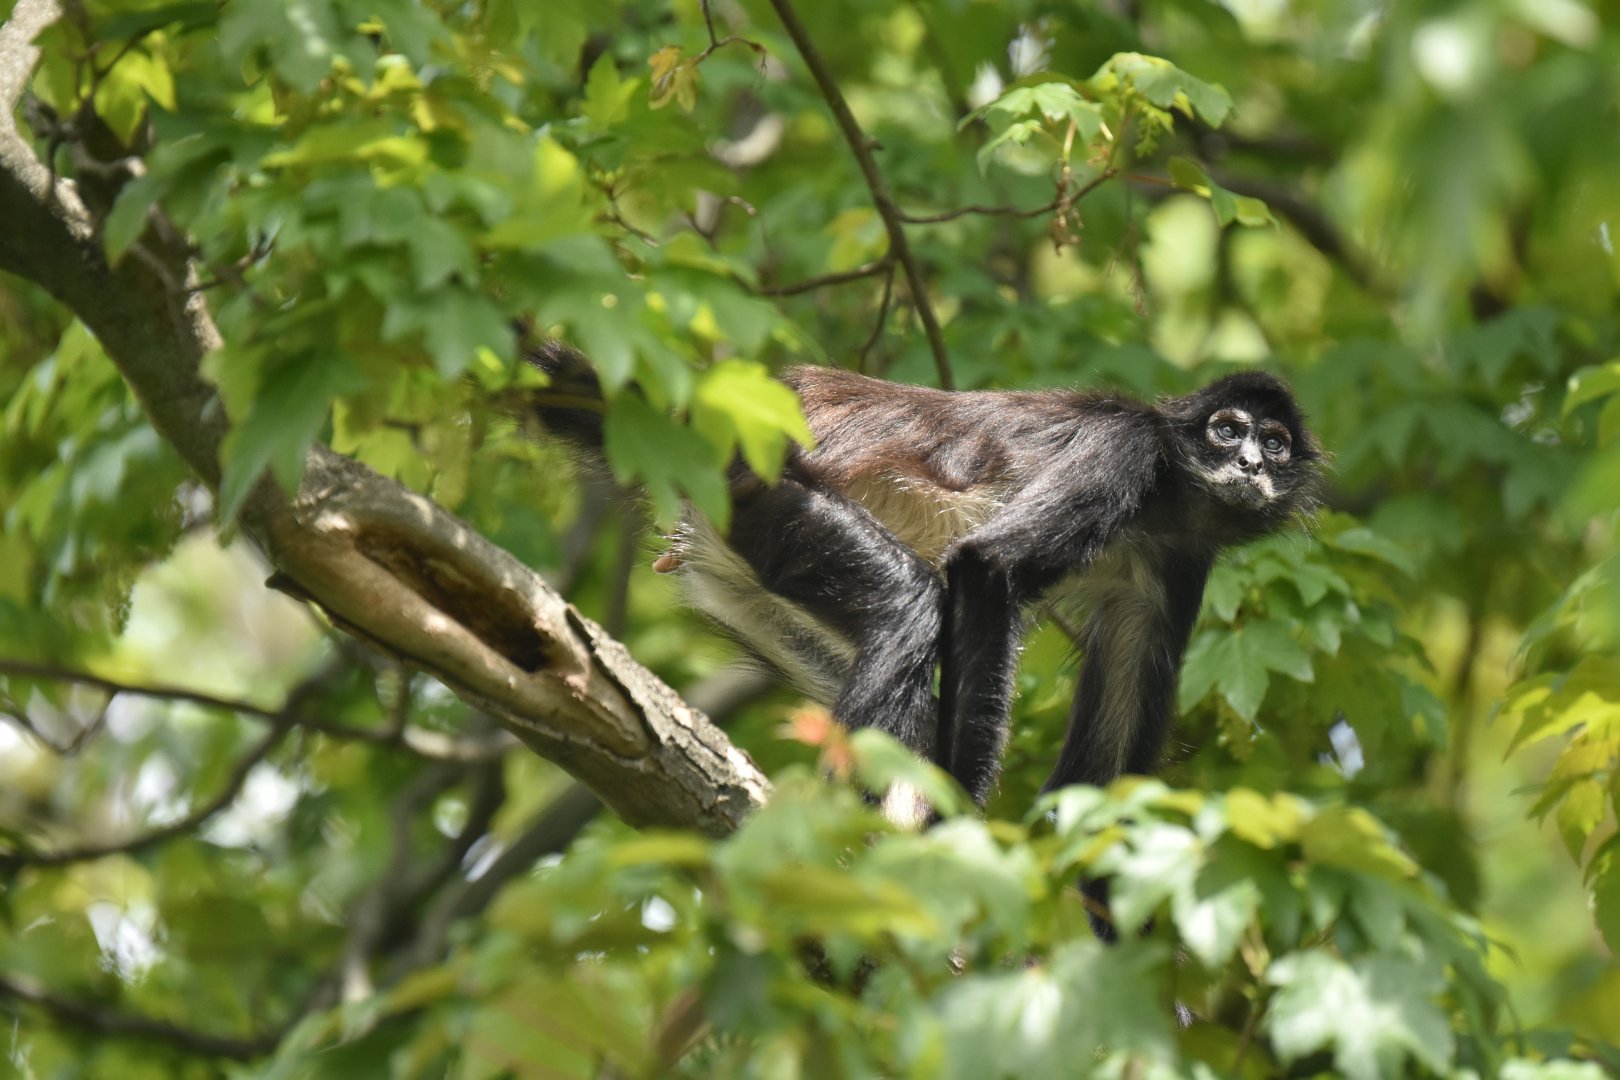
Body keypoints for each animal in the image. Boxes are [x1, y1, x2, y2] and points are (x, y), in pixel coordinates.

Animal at [529, 344, 1323, 827]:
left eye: (1275, 445)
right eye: (1228, 432)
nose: (1251, 464)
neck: (1163, 504)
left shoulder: (1181, 562)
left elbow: (1105, 773)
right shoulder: (1124, 450)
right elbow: (987, 567)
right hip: (758, 495)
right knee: (912, 606)